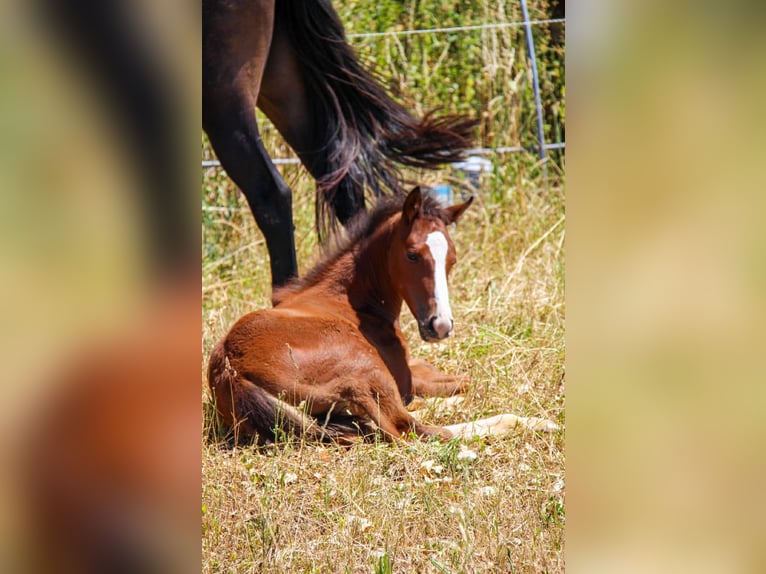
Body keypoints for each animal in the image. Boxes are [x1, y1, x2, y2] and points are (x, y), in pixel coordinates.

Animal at [208, 187, 557, 444]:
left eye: (453, 260)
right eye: (412, 255)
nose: (440, 325)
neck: (351, 301)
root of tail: (231, 368)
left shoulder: (414, 370)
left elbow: (462, 383)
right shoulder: (403, 374)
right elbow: (467, 383)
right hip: (366, 370)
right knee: (411, 429)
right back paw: (534, 421)